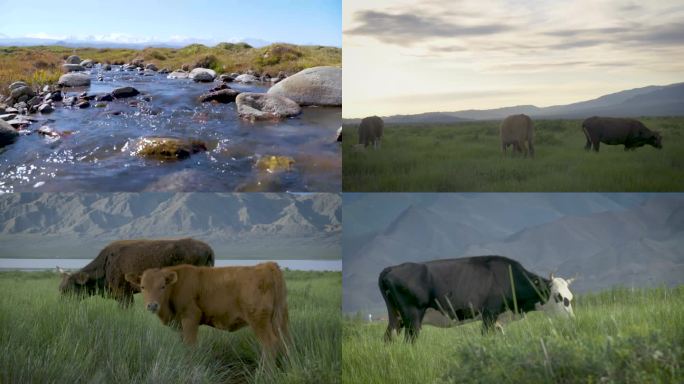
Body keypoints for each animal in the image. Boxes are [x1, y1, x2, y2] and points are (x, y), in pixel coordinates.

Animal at [58, 238, 214, 308]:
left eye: (68, 289)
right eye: (60, 289)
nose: (62, 305)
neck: (106, 263)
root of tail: (208, 249)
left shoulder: (124, 294)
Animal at [124, 260, 290, 364]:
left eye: (162, 286)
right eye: (143, 286)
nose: (152, 305)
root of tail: (266, 266)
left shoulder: (190, 318)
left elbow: (190, 346)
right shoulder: (179, 325)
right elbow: (182, 345)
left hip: (259, 320)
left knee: (270, 343)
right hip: (280, 319)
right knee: (285, 342)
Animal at [376, 255, 576, 342]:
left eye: (570, 297)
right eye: (558, 297)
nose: (572, 320)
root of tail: (392, 268)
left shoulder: (498, 319)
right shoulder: (489, 314)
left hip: (397, 319)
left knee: (387, 339)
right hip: (413, 319)